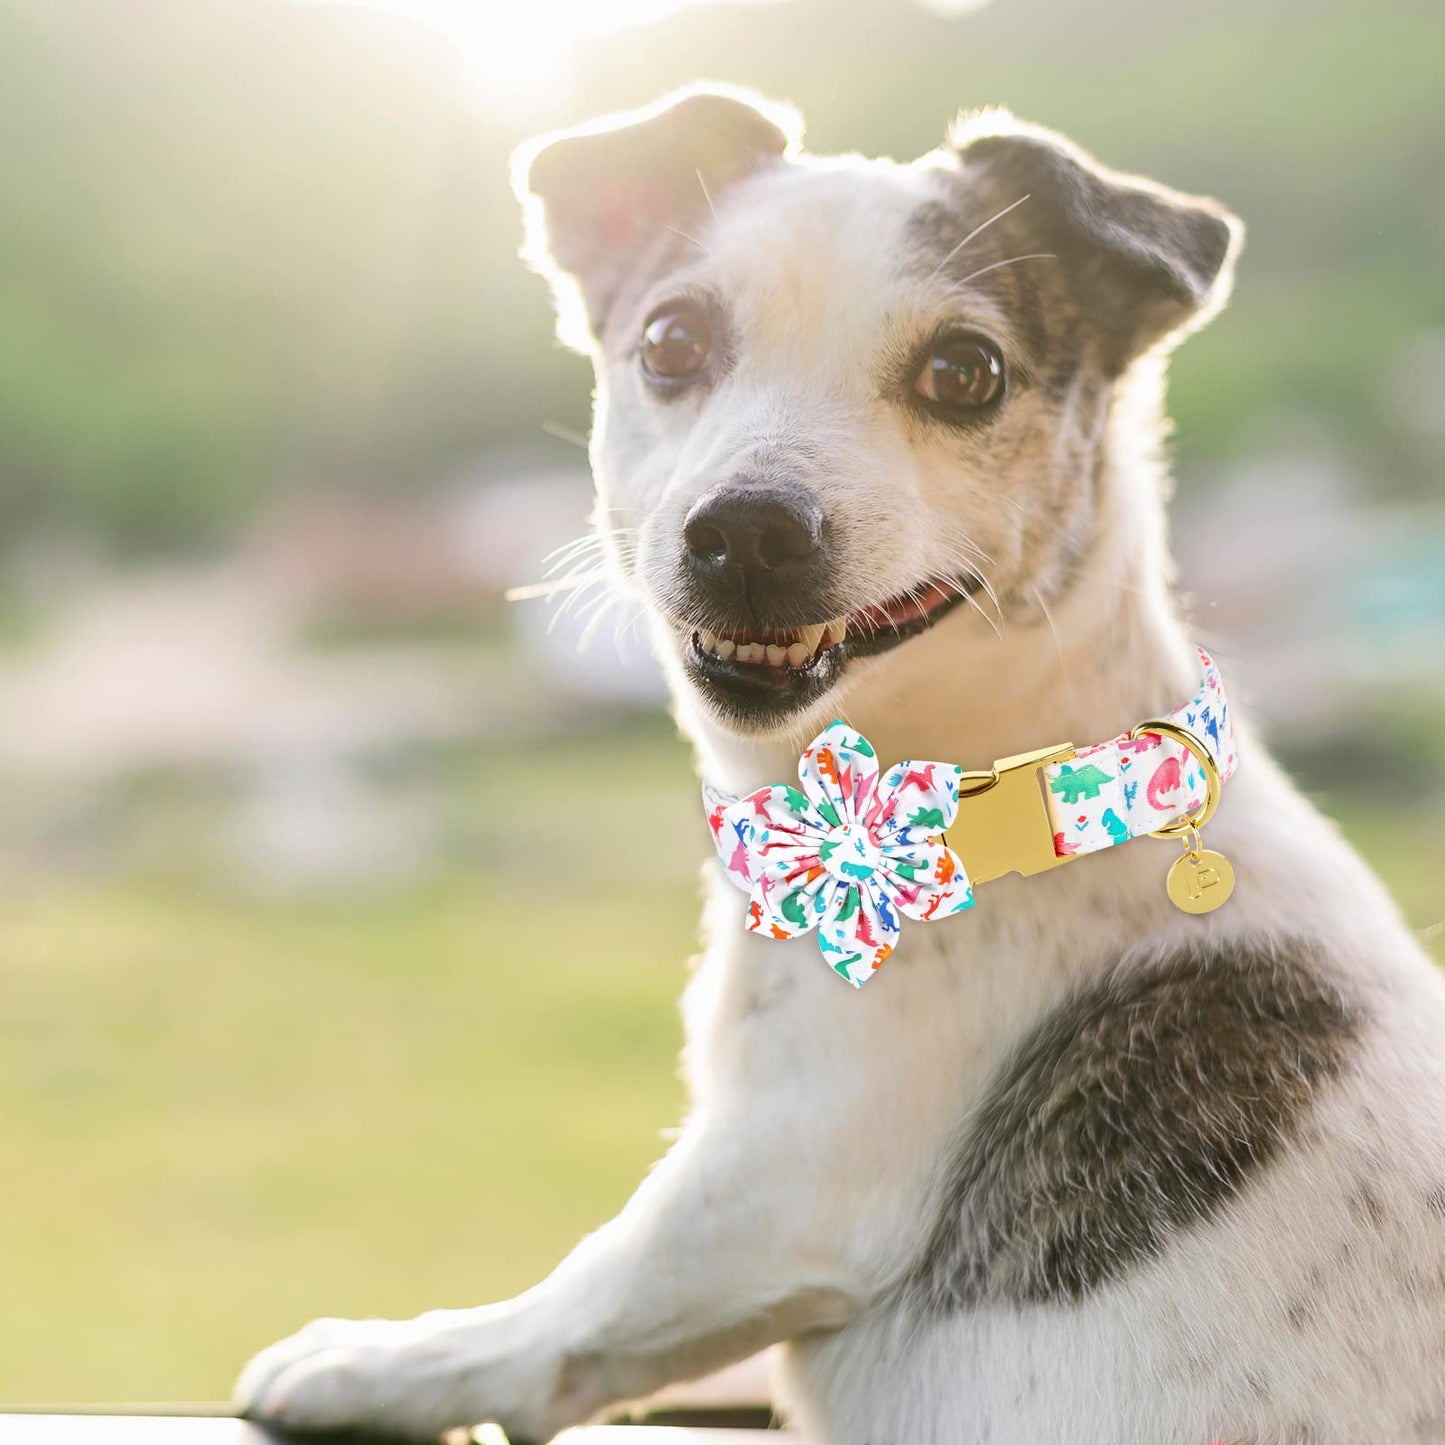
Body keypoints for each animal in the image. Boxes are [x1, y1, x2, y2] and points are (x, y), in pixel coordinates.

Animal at [234, 84, 1445, 1439]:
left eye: (964, 371)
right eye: (668, 342)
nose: (746, 530)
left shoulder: (774, 1176)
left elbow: (578, 1298)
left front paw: (382, 1357)